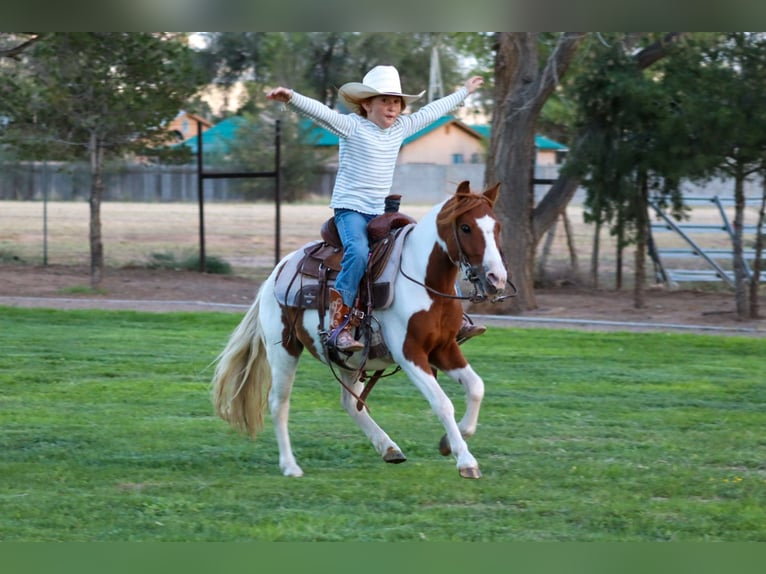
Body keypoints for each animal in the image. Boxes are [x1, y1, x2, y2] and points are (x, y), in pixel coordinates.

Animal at [210, 180, 508, 479]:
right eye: (466, 227)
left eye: (497, 226)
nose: (497, 278)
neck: (422, 280)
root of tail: (276, 273)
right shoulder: (410, 353)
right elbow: (442, 403)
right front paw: (466, 461)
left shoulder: (444, 348)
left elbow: (476, 387)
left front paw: (450, 441)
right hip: (284, 349)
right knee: (279, 402)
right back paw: (290, 465)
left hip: (349, 358)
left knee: (349, 402)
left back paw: (389, 448)